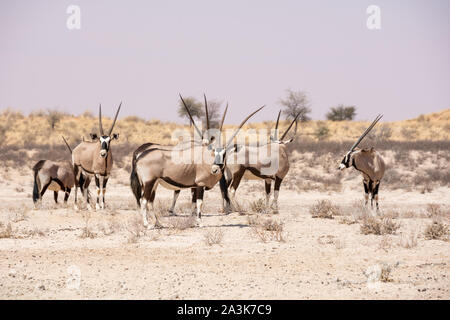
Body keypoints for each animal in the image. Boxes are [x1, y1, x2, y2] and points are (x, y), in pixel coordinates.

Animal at [130, 95, 264, 228]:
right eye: (214, 152)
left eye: (224, 153)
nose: (215, 169)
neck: (207, 159)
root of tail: (140, 156)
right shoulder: (200, 185)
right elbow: (199, 203)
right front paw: (199, 222)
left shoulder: (194, 186)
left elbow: (194, 203)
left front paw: (193, 219)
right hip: (149, 182)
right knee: (143, 200)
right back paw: (147, 224)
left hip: (154, 183)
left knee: (150, 201)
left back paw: (158, 223)